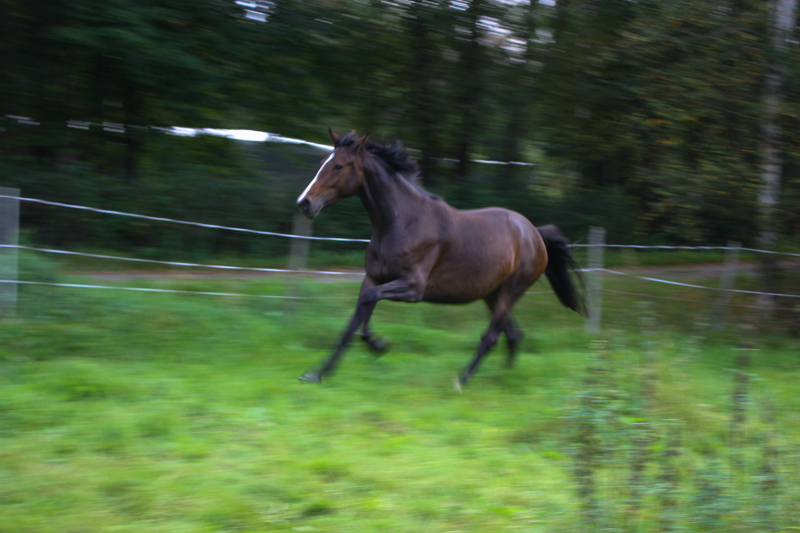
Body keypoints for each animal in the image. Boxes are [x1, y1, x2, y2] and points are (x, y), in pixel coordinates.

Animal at [296, 129, 586, 388]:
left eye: (338, 166)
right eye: (322, 163)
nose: (304, 203)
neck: (400, 222)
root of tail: (534, 232)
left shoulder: (413, 287)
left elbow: (366, 306)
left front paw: (378, 345)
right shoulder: (372, 279)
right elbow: (354, 324)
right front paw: (319, 373)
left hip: (512, 290)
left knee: (492, 337)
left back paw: (462, 380)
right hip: (492, 293)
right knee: (513, 335)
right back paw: (504, 378)